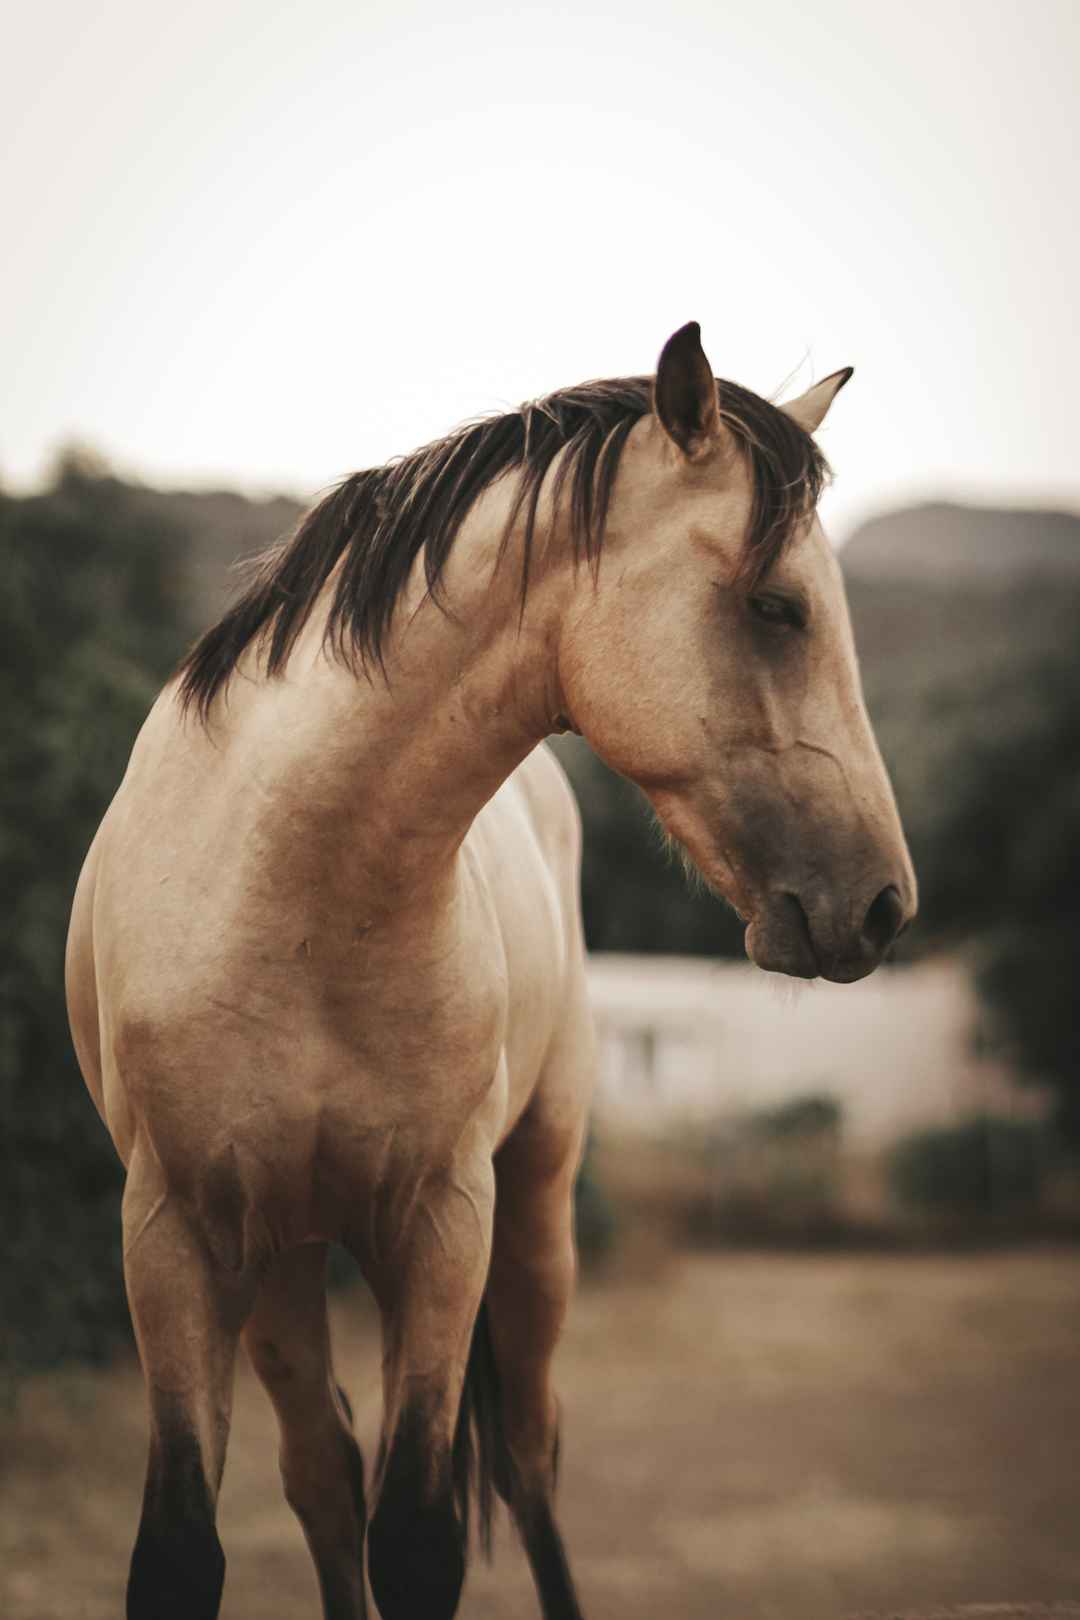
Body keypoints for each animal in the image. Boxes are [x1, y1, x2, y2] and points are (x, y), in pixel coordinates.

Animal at [65, 319, 913, 1620]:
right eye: (775, 606)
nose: (881, 904)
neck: (291, 894)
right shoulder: (174, 1236)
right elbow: (186, 1549)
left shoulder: (443, 1223)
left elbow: (419, 1533)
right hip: (284, 1258)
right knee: (322, 1472)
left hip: (532, 1206)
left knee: (523, 1459)